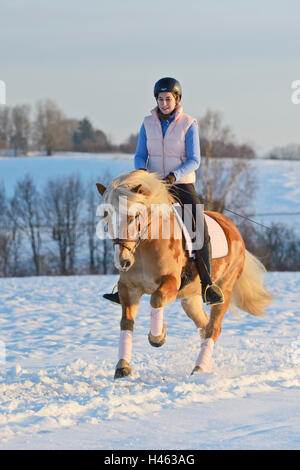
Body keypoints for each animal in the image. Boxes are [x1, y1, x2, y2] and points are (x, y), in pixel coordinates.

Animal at [96, 169, 274, 378]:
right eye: (106, 216)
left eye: (133, 216)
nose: (122, 261)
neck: (145, 245)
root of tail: (233, 228)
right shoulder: (128, 288)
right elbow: (126, 322)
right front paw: (123, 367)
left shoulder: (171, 282)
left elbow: (156, 299)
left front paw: (158, 337)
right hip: (190, 299)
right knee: (204, 326)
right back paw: (206, 366)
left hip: (225, 289)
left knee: (213, 328)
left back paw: (199, 368)